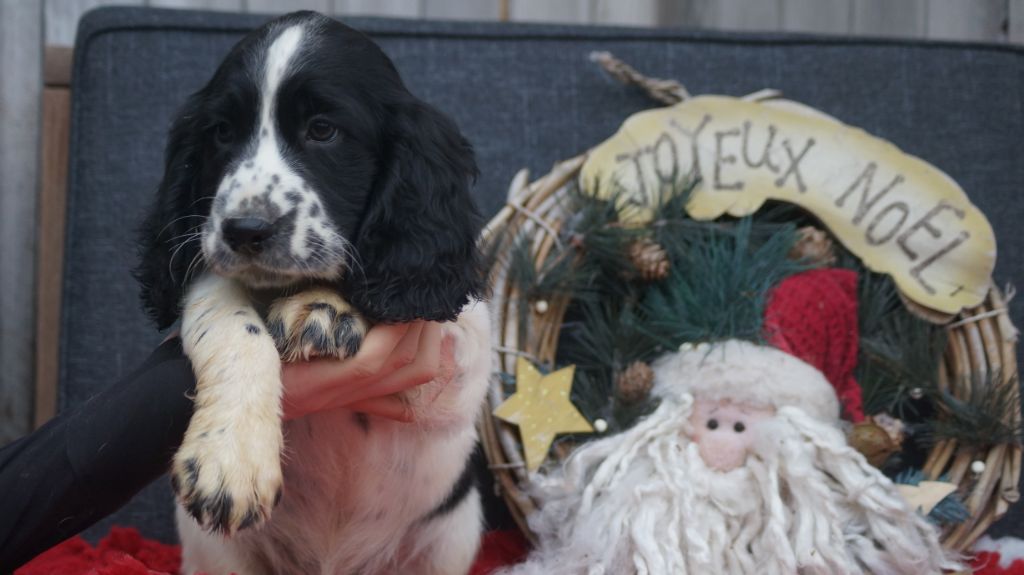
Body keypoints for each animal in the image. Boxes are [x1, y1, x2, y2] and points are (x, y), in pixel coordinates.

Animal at [135, 10, 491, 572]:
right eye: (221, 132)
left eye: (322, 130)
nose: (245, 230)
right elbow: (230, 322)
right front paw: (231, 458)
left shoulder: (453, 366)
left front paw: (325, 306)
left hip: (449, 538)